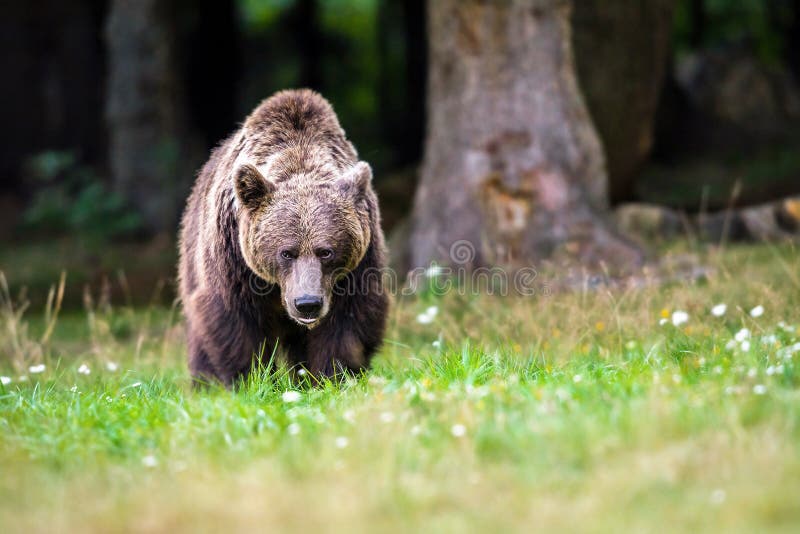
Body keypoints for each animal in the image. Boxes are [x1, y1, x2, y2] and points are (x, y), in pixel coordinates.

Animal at [178, 89, 389, 386]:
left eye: (326, 251)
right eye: (286, 252)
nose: (307, 304)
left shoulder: (357, 266)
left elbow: (347, 323)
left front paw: (333, 376)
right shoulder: (233, 260)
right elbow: (235, 321)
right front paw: (251, 379)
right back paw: (206, 382)